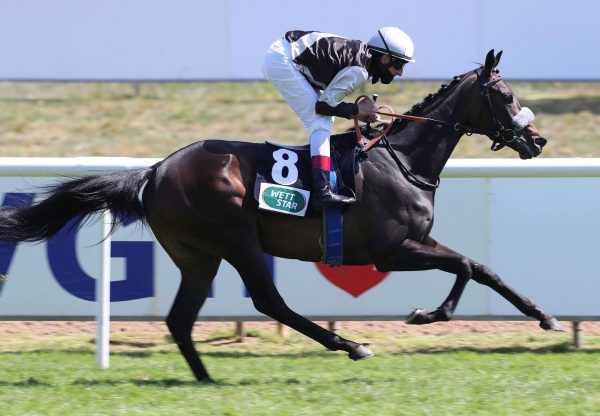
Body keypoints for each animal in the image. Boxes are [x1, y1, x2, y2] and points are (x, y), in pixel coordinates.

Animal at [0, 50, 564, 382]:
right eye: (505, 94)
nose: (538, 140)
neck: (402, 159)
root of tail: (155, 170)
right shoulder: (390, 251)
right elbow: (466, 266)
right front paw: (429, 314)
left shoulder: (415, 244)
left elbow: (483, 268)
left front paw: (545, 316)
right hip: (236, 239)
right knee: (269, 300)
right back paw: (349, 345)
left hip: (196, 255)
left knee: (181, 318)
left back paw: (205, 378)